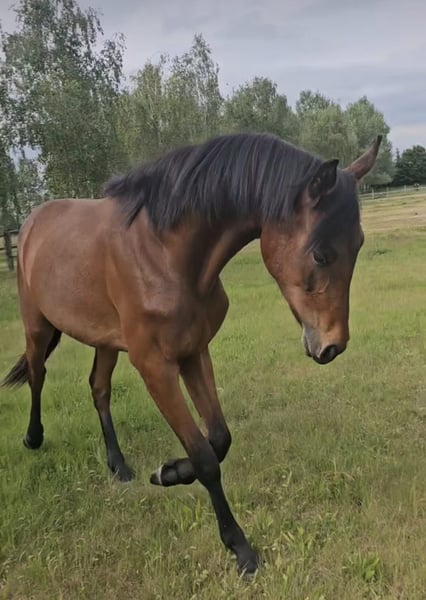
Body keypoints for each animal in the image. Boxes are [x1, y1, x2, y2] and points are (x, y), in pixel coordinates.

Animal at [1, 132, 381, 574]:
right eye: (320, 253)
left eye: (358, 245)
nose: (332, 345)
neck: (164, 254)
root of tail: (31, 223)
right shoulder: (156, 368)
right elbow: (204, 456)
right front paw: (240, 549)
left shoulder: (195, 353)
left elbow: (219, 437)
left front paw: (168, 472)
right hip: (38, 326)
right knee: (37, 373)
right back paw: (33, 438)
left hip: (105, 341)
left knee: (98, 388)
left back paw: (119, 466)